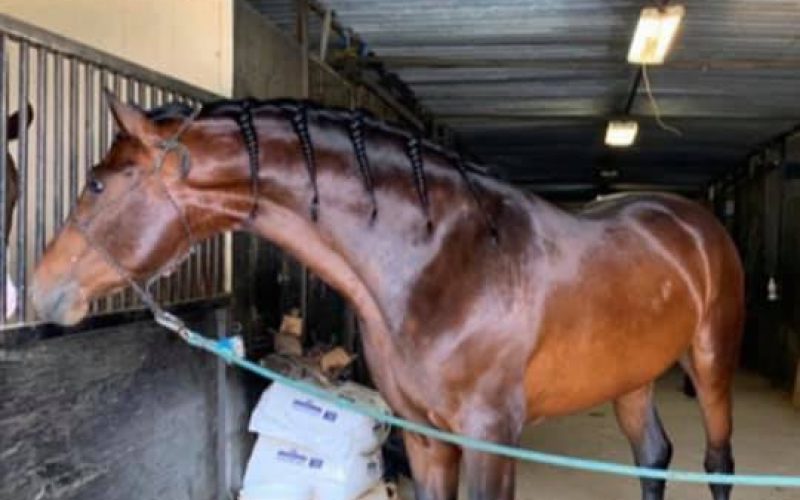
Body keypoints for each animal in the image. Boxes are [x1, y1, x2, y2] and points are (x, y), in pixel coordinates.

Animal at [31, 93, 743, 500]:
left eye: (97, 184)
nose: (39, 289)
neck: (438, 263)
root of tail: (690, 220)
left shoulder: (492, 438)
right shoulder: (425, 439)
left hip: (710, 365)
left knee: (716, 463)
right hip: (630, 379)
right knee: (653, 459)